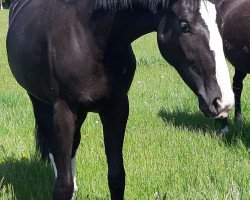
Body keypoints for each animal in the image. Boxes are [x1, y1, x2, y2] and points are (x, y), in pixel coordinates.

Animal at [6, 0, 234, 199]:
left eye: (220, 22)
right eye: (184, 25)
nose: (223, 101)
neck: (88, 35)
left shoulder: (117, 108)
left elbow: (116, 177)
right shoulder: (64, 111)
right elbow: (63, 185)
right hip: (40, 102)